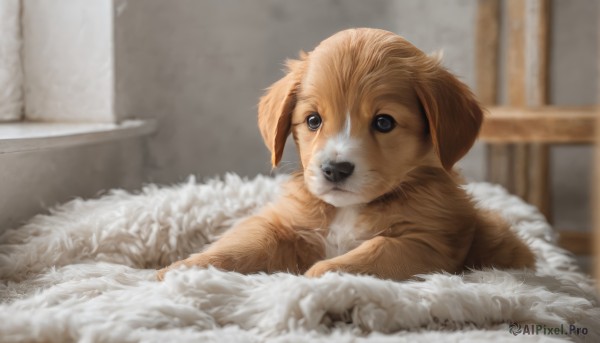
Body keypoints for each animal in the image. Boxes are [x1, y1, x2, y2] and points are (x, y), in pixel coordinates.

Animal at [157, 28, 536, 282]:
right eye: (313, 120)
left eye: (384, 122)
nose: (335, 170)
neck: (347, 211)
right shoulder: (282, 224)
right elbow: (240, 245)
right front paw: (183, 269)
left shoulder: (425, 242)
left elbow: (372, 253)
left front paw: (317, 277)